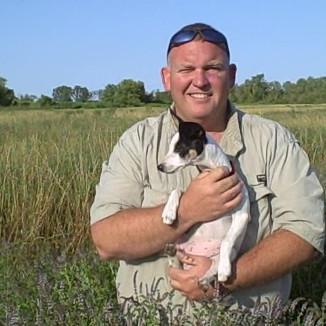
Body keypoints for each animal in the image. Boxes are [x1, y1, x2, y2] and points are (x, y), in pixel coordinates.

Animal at [158, 120, 250, 286]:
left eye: (179, 148)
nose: (159, 167)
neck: (212, 171)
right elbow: (177, 190)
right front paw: (168, 212)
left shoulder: (242, 216)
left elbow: (227, 240)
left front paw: (224, 269)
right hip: (178, 238)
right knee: (176, 263)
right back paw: (171, 252)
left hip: (228, 254)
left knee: (213, 265)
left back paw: (208, 277)